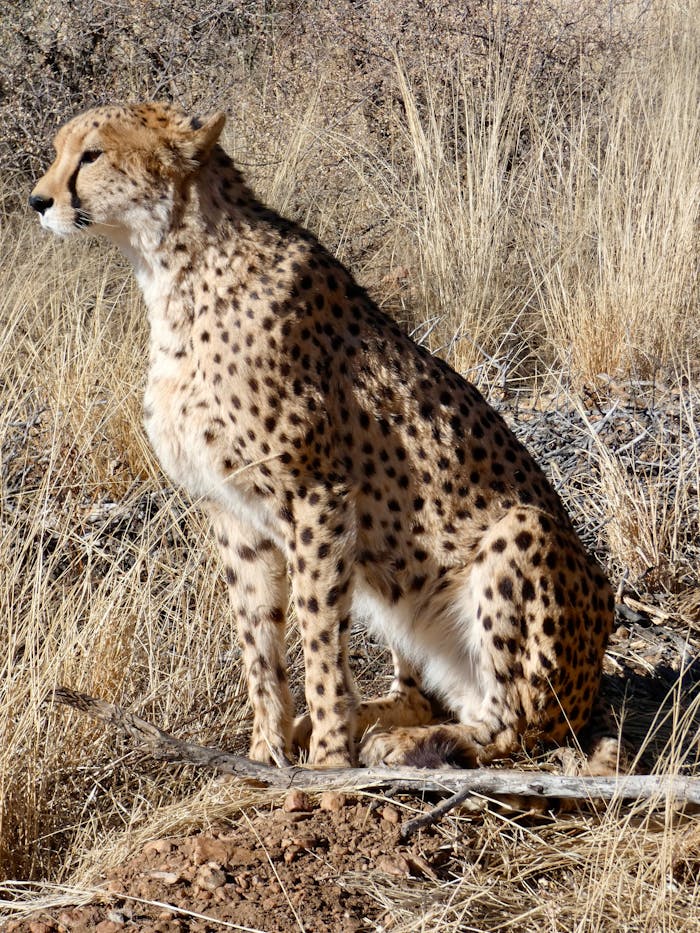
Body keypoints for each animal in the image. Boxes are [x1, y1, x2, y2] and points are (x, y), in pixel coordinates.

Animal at [30, 102, 618, 774]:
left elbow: (317, 636)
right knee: (423, 695)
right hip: (397, 582)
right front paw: (266, 751)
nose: (37, 200)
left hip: (522, 535)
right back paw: (371, 720)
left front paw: (329, 762)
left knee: (516, 726)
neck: (173, 266)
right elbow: (259, 640)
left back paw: (410, 742)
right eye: (58, 150)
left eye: (92, 154)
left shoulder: (317, 495)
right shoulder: (233, 513)